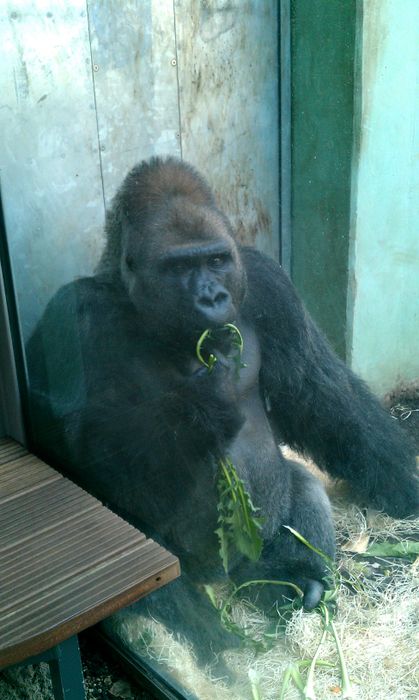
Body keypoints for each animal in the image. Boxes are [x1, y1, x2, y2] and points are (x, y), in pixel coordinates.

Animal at [27, 156, 419, 660]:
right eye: (179, 266)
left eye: (215, 260)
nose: (211, 296)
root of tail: (226, 578)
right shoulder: (75, 316)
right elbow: (81, 455)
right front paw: (204, 405)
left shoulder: (266, 280)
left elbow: (317, 393)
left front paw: (401, 482)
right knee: (150, 560)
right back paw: (222, 647)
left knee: (300, 487)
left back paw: (290, 579)